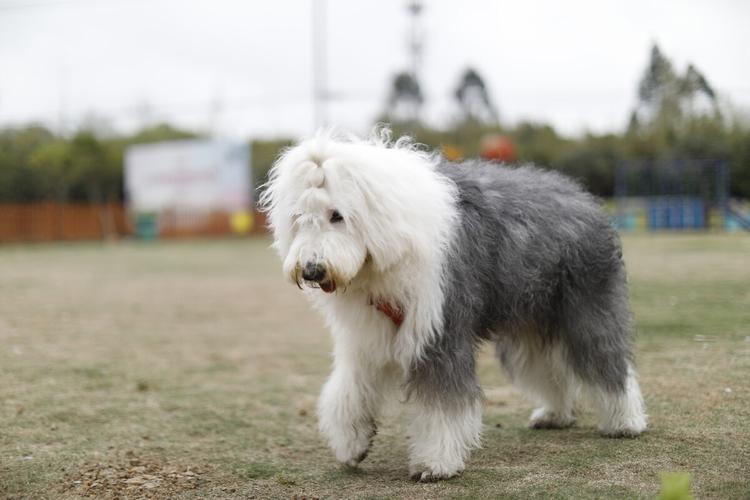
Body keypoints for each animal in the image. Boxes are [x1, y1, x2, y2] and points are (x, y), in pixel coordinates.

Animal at [260, 128, 648, 480]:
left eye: (337, 215)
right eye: (299, 217)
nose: (311, 270)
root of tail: (581, 194)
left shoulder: (440, 331)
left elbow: (442, 404)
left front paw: (434, 463)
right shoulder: (368, 336)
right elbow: (349, 389)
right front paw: (352, 445)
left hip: (588, 308)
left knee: (606, 362)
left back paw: (625, 421)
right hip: (530, 322)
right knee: (547, 367)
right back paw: (555, 415)